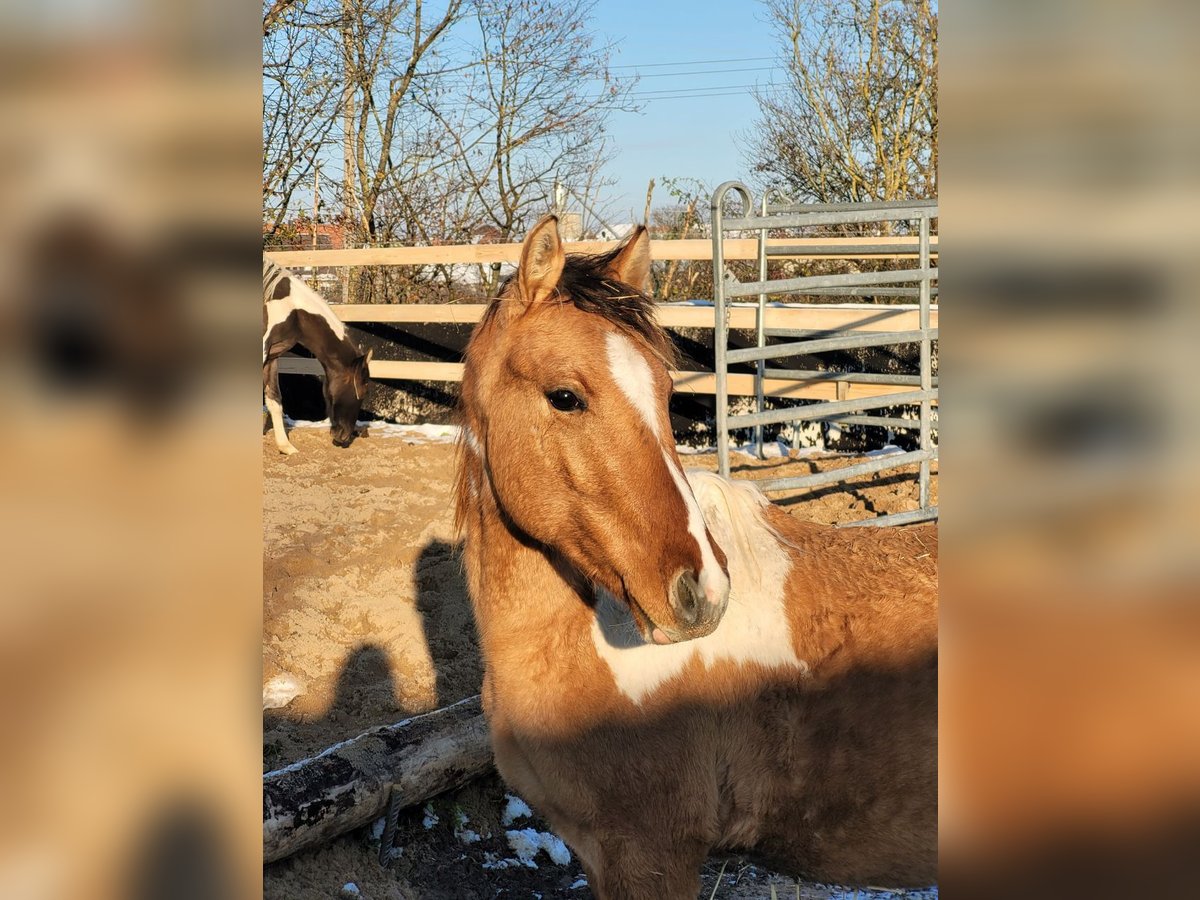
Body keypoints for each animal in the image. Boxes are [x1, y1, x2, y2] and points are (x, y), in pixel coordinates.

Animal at [262, 262, 369, 458]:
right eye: (364, 391)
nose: (344, 436)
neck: (292, 309)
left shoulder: (272, 355)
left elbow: (275, 400)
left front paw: (286, 447)